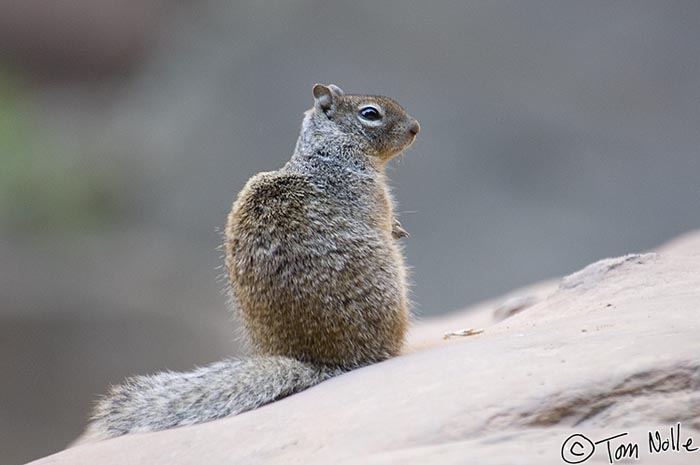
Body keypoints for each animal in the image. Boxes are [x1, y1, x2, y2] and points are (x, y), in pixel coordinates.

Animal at [84, 84, 418, 438]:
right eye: (370, 113)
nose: (415, 127)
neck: (328, 149)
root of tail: (322, 362)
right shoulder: (373, 196)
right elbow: (384, 216)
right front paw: (397, 229)